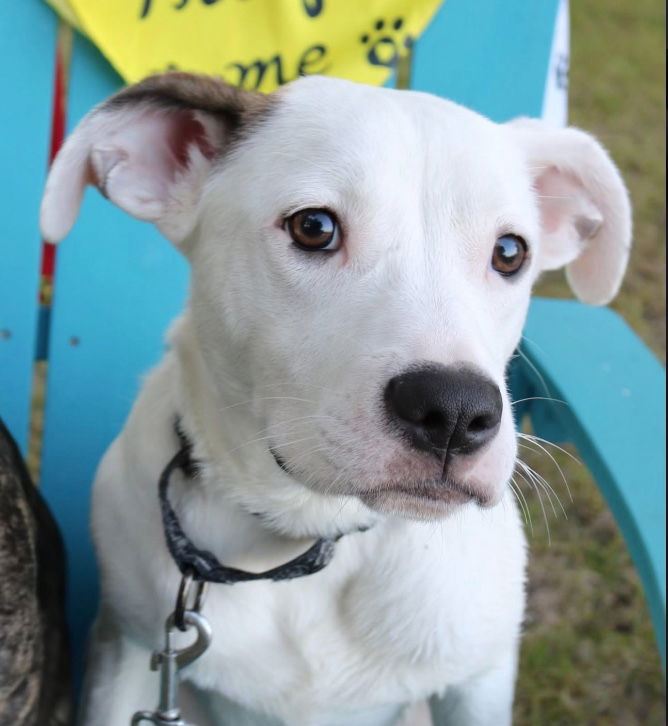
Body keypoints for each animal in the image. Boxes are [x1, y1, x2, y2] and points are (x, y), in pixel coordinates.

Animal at [39, 72, 628, 726]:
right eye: (314, 227)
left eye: (510, 252)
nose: (455, 413)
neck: (310, 536)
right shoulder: (126, 652)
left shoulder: (479, 681)